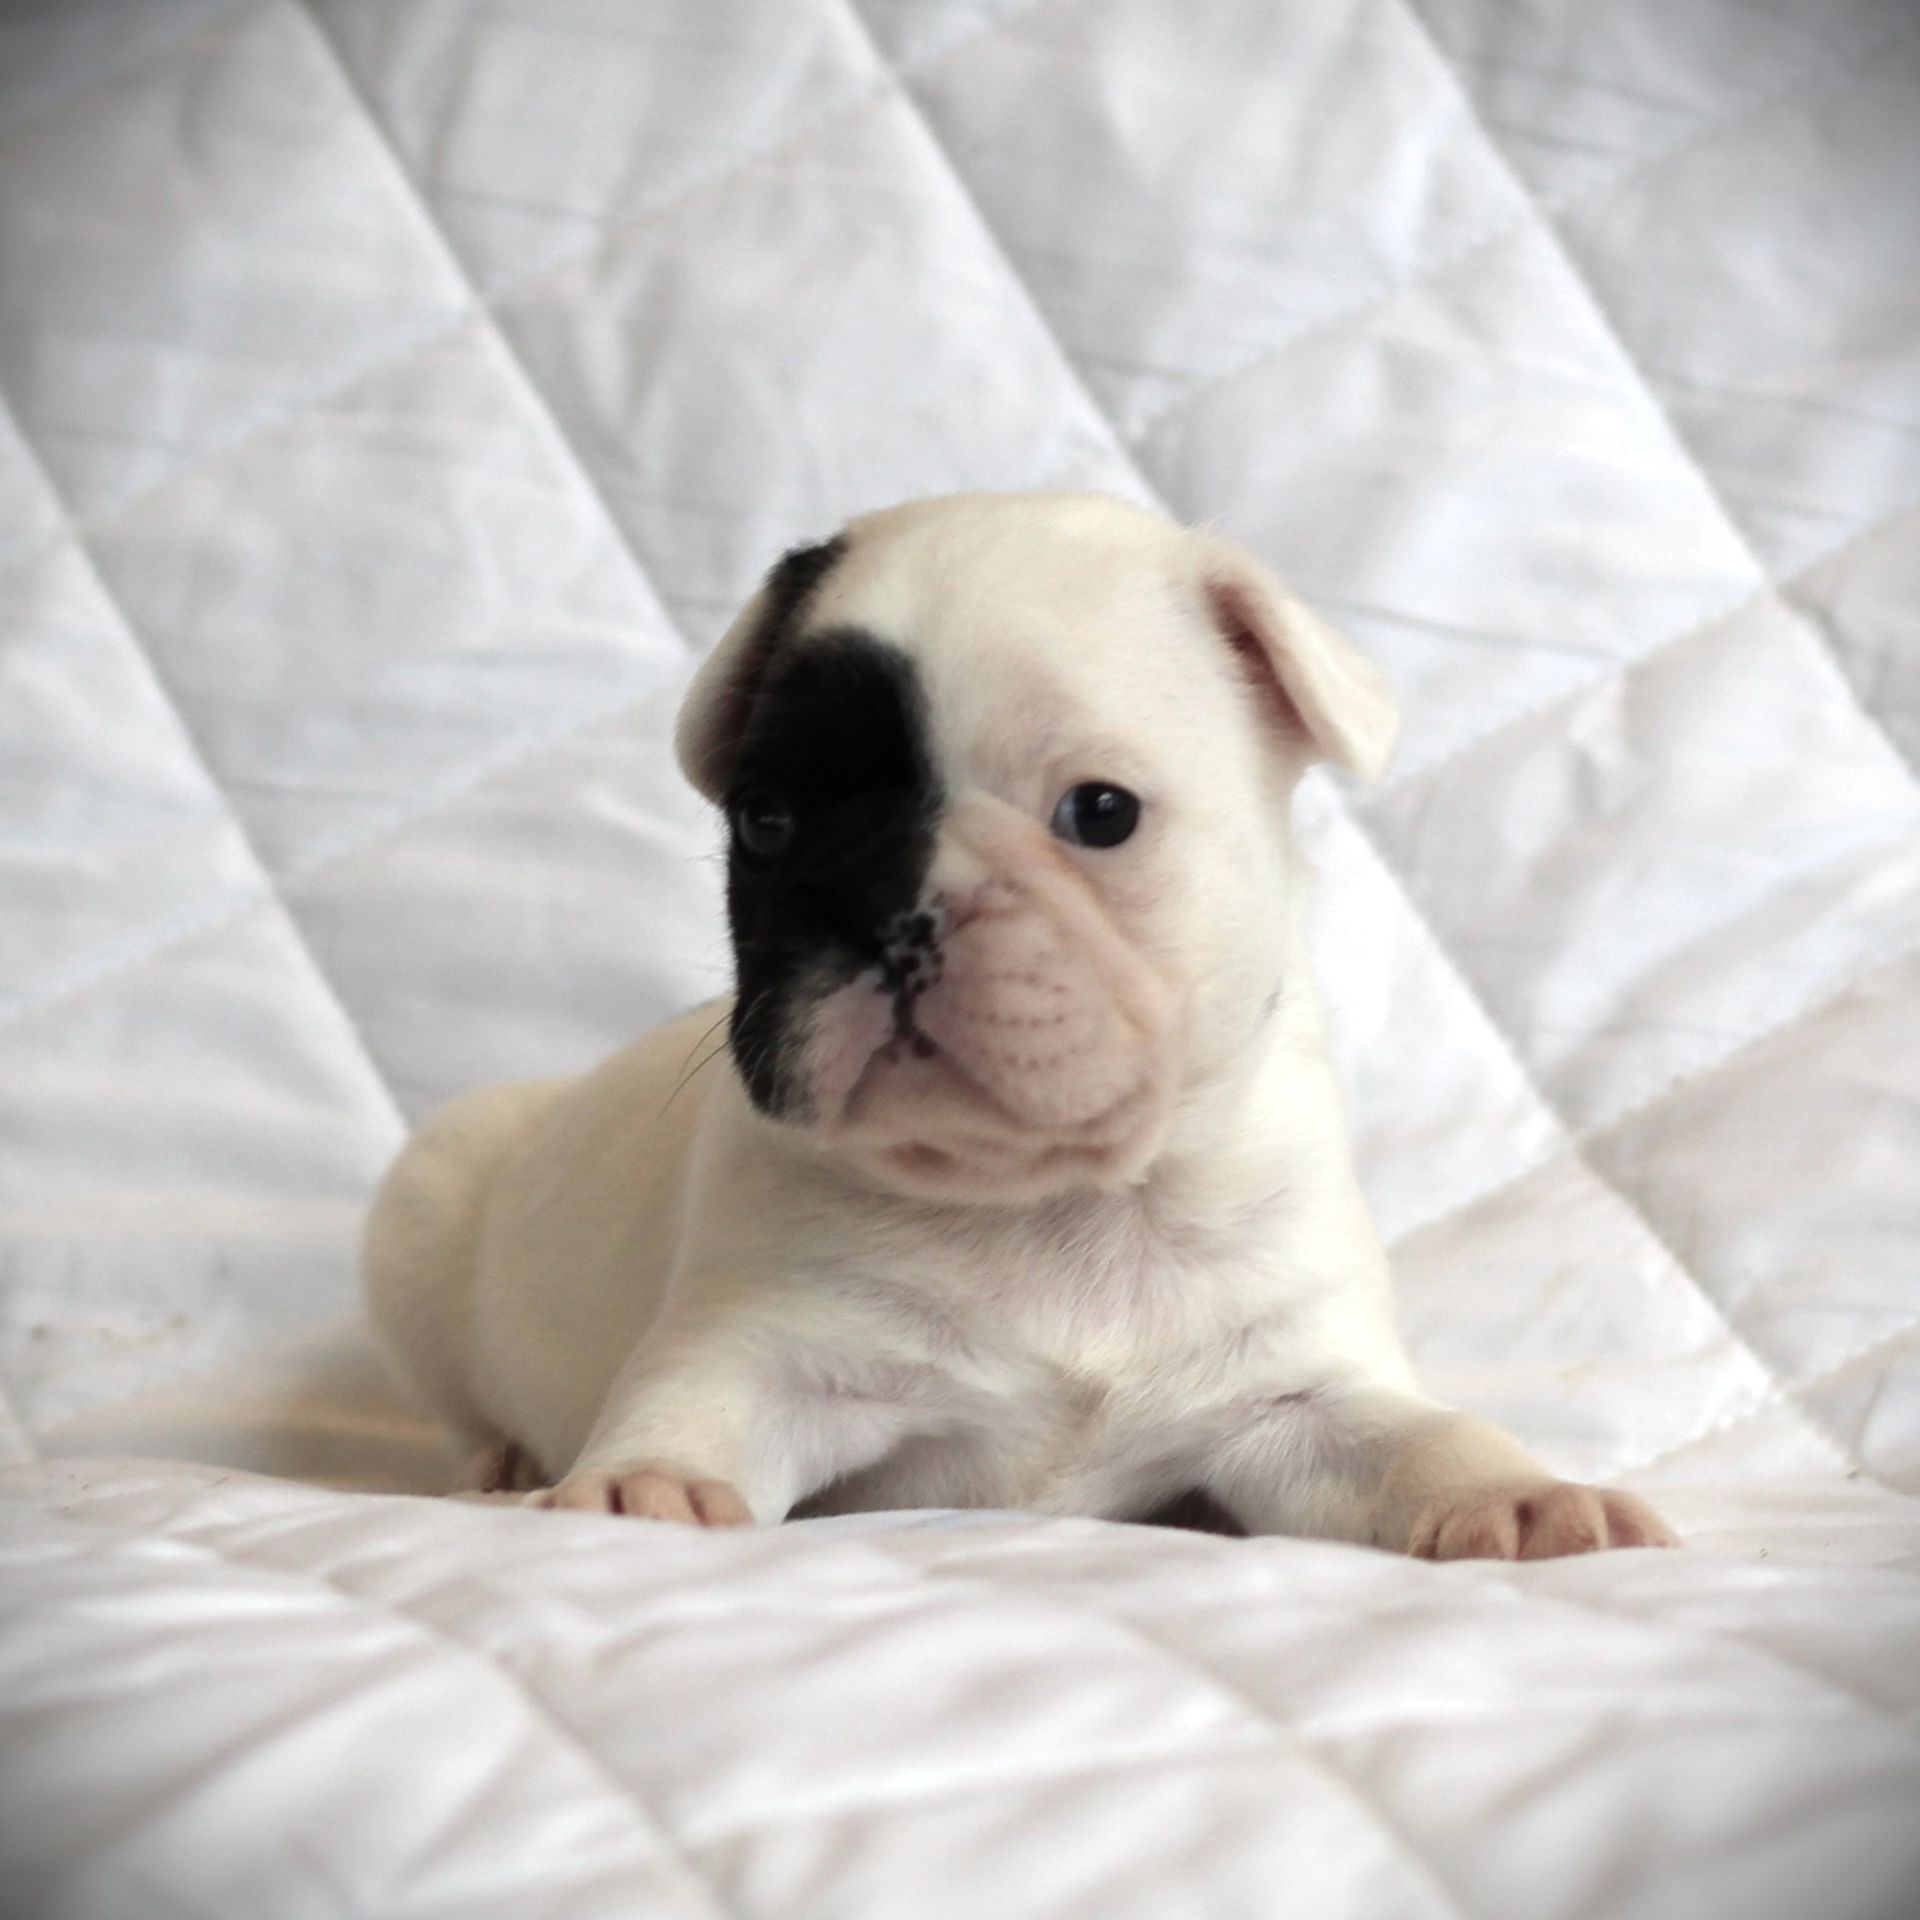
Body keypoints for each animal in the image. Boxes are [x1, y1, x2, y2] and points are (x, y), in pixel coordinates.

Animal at [363, 492, 1676, 1560]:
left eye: (1101, 813)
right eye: (766, 821)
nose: (879, 902)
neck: (1047, 1202)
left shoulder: (1298, 1393)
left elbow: (1419, 1439)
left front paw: (1523, 1496)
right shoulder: (765, 1343)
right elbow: (692, 1406)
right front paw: (643, 1486)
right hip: (424, 1209)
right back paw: (504, 1459)